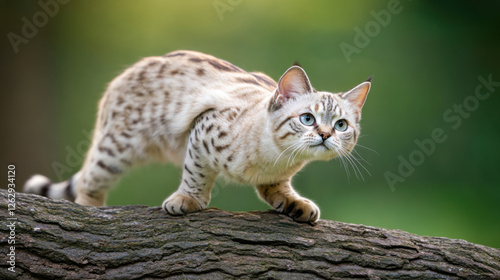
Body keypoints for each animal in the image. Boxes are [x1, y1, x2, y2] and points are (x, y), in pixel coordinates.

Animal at [24, 50, 372, 223]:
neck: (276, 158)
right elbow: (196, 174)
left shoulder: (277, 176)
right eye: (307, 119)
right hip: (116, 149)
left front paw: (295, 204)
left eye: (341, 125)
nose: (325, 134)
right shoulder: (202, 130)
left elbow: (278, 190)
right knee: (88, 183)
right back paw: (90, 210)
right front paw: (187, 201)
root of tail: (132, 69)